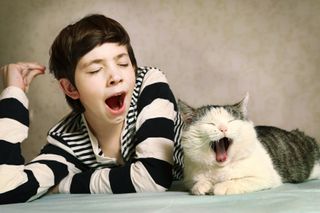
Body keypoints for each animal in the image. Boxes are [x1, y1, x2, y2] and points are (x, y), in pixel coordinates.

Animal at [179, 94, 318, 196]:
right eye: (210, 124)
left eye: (231, 121)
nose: (223, 128)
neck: (220, 168)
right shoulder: (188, 179)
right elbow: (196, 183)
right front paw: (202, 185)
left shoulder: (265, 178)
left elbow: (239, 181)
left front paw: (221, 187)